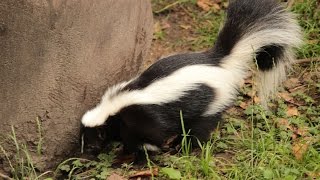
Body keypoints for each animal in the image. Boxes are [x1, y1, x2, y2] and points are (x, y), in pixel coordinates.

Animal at [79, 0, 302, 158]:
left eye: (91, 139)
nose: (87, 152)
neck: (113, 108)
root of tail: (219, 62)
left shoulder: (144, 117)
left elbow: (153, 135)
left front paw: (146, 152)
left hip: (208, 106)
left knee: (199, 130)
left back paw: (182, 147)